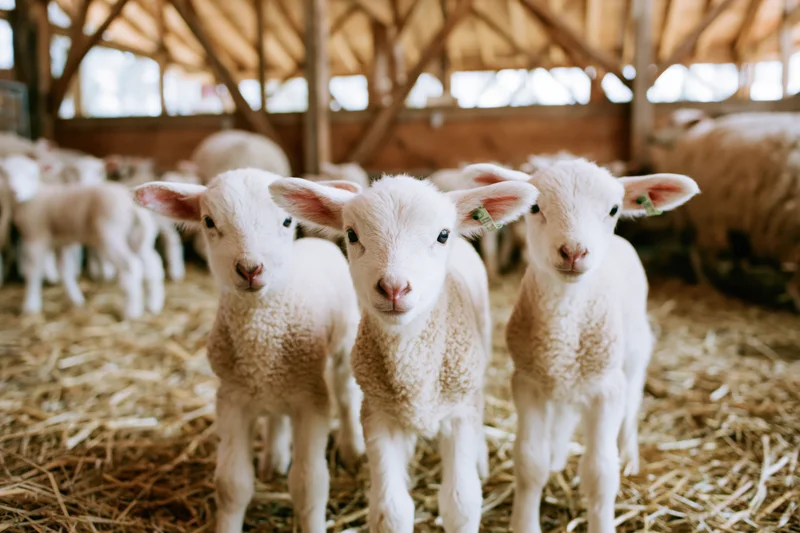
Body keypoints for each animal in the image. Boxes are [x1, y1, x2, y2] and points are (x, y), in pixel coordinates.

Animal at [0, 155, 163, 319]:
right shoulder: (62, 242)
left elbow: (33, 272)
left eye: (32, 174)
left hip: (110, 236)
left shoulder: (36, 237)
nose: (14, 191)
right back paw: (153, 304)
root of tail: (133, 206)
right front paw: (75, 299)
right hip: (138, 238)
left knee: (132, 266)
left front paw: (30, 306)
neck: (33, 197)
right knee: (153, 265)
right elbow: (65, 270)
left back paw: (132, 312)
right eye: (4, 174)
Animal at [133, 169, 364, 533]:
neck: (262, 337)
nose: (250, 269)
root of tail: (316, 242)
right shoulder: (232, 398)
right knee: (276, 415)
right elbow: (232, 485)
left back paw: (352, 450)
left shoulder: (311, 400)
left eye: (286, 220)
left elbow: (309, 484)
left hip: (341, 343)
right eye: (209, 221)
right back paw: (273, 459)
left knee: (345, 394)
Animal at [269, 174, 538, 533]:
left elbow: (461, 503)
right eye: (352, 234)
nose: (394, 288)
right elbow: (391, 511)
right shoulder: (377, 415)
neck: (412, 366)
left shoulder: (457, 414)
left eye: (442, 235)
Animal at [464, 160, 698, 533]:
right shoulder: (527, 382)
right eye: (534, 207)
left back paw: (629, 455)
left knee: (632, 403)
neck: (565, 321)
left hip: (633, 354)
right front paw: (524, 521)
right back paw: (558, 457)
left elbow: (601, 473)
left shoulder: (607, 388)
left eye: (614, 209)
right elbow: (530, 462)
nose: (574, 252)